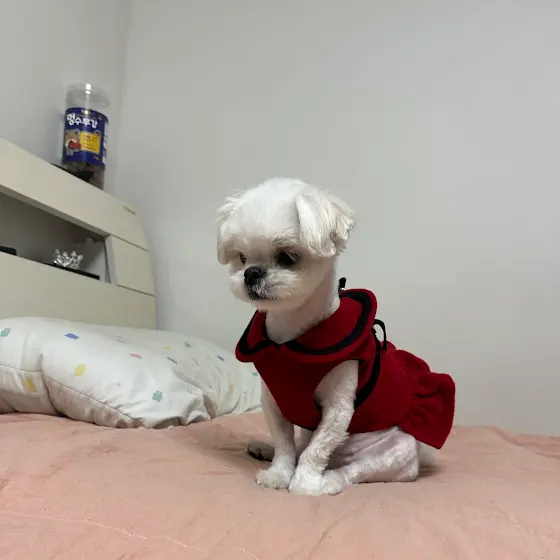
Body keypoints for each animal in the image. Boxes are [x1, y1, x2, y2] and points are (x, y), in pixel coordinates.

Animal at [217, 178, 455, 496]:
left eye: (287, 257)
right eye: (241, 258)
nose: (251, 273)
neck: (290, 337)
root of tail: (418, 457)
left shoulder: (338, 408)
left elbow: (316, 450)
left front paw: (303, 483)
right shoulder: (274, 400)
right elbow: (285, 444)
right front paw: (278, 474)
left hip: (392, 450)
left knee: (349, 470)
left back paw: (327, 481)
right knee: (299, 445)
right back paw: (265, 451)